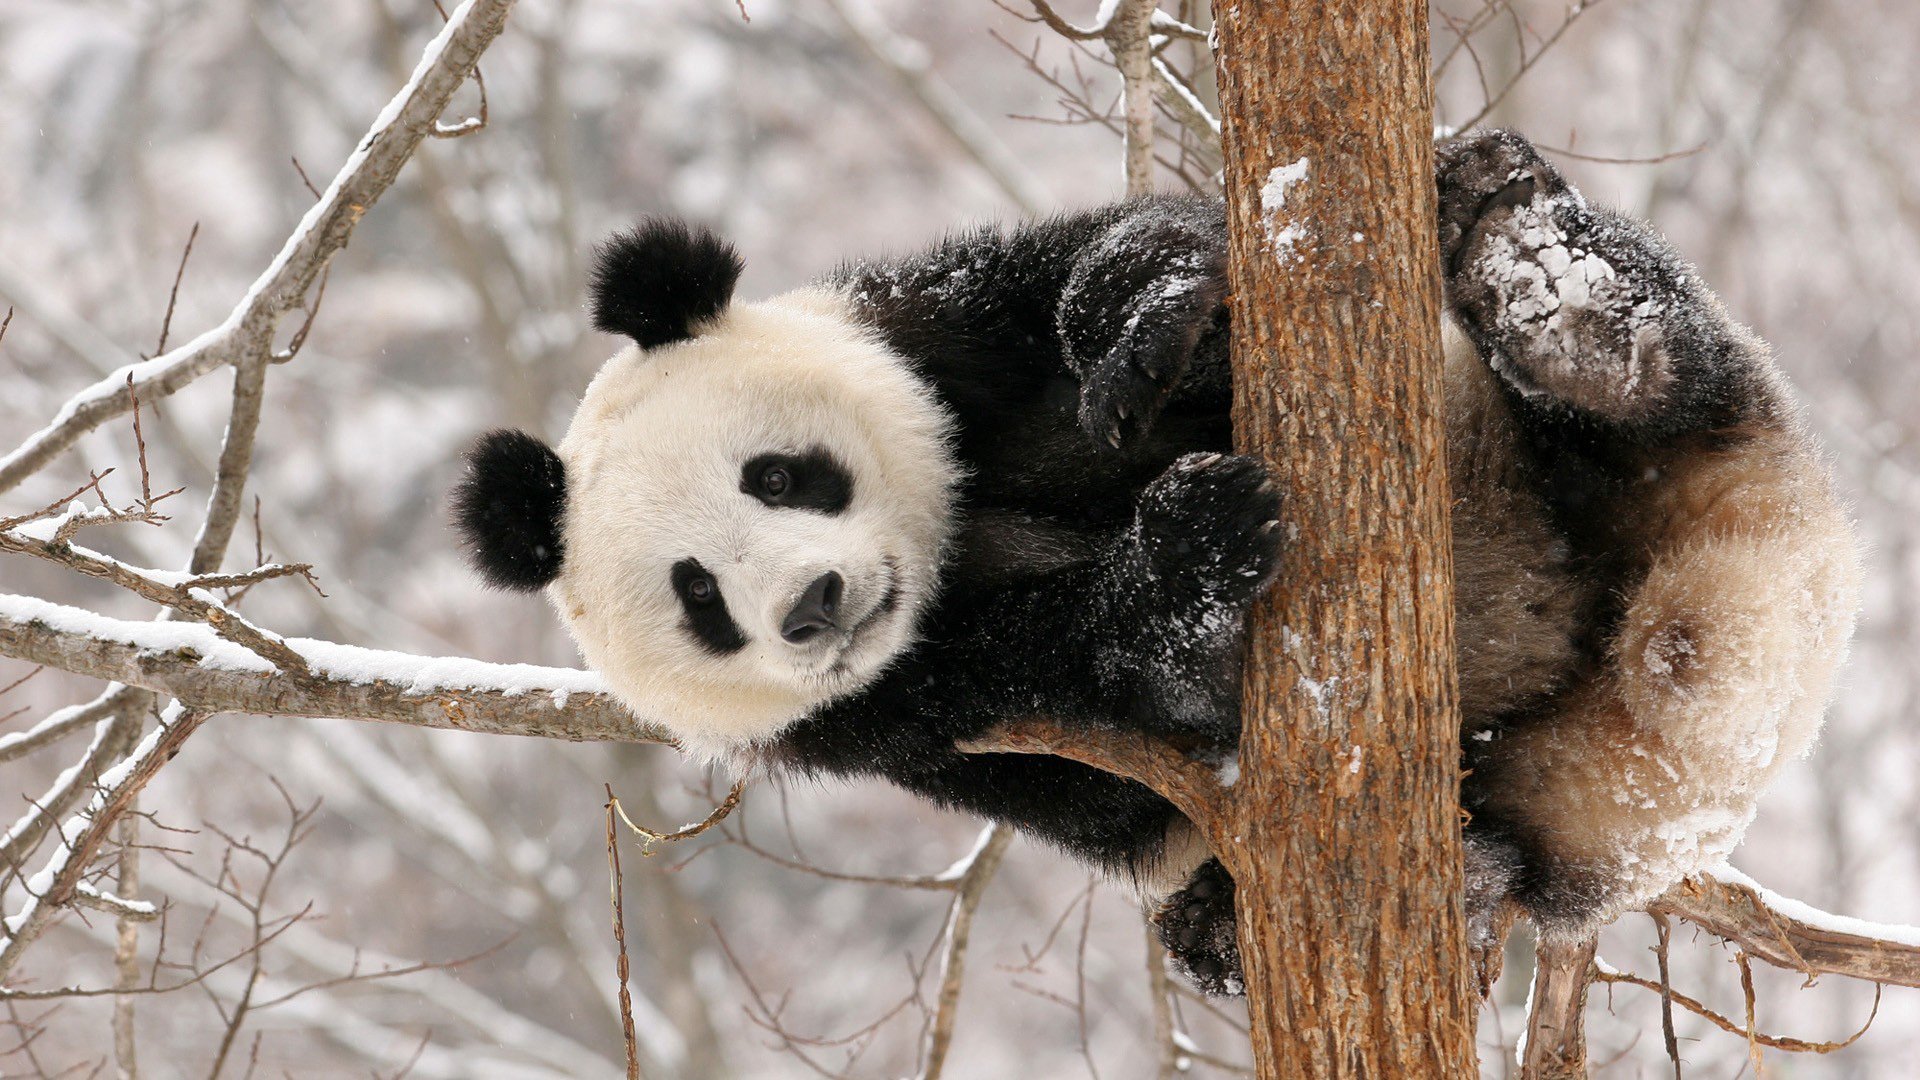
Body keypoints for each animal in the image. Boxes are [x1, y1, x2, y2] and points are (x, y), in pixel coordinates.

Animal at [451, 130, 1860, 995]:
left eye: (783, 476)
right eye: (698, 596)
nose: (814, 603)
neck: (952, 548)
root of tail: (1716, 647)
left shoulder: (937, 333)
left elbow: (1115, 275)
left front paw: (1146, 324)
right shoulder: (889, 718)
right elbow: (1113, 734)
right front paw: (1191, 553)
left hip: (1644, 455)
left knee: (1666, 380)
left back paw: (1543, 285)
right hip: (1556, 777)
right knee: (1521, 848)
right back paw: (1379, 891)